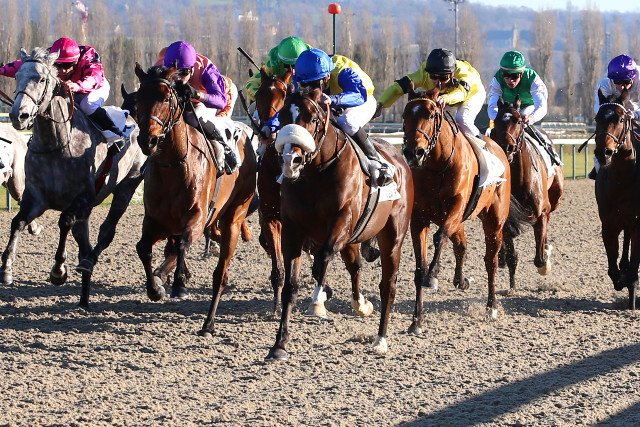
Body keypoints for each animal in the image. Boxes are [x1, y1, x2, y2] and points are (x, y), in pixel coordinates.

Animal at [0, 47, 146, 308]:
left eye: (42, 79)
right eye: (16, 75)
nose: (19, 115)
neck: (56, 144)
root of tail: (134, 120)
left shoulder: (81, 199)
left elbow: (64, 221)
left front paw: (59, 270)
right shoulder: (35, 197)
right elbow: (17, 222)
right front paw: (6, 269)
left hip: (128, 184)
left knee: (106, 231)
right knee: (85, 246)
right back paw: (83, 298)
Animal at [133, 64, 257, 334]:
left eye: (166, 98)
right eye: (138, 98)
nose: (147, 140)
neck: (173, 164)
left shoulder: (197, 217)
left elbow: (182, 245)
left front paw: (179, 284)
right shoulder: (155, 221)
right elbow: (144, 248)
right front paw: (155, 287)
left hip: (233, 217)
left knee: (220, 273)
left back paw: (208, 322)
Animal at [265, 88, 414, 360]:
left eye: (313, 118)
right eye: (282, 117)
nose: (291, 160)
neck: (316, 174)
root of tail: (399, 159)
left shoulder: (341, 221)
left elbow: (321, 261)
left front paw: (318, 301)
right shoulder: (292, 231)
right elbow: (291, 286)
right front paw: (279, 344)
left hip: (392, 237)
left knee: (388, 285)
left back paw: (380, 340)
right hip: (353, 239)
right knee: (355, 267)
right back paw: (361, 305)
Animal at [401, 86, 511, 333]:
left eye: (431, 114)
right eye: (404, 115)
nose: (413, 152)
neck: (437, 165)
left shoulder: (455, 207)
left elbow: (439, 236)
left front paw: (433, 275)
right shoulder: (419, 219)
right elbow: (419, 268)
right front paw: (417, 320)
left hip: (493, 220)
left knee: (490, 259)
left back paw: (491, 306)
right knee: (461, 244)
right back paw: (461, 281)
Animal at [490, 96, 564, 289]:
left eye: (518, 121)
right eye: (497, 121)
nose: (506, 147)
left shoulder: (541, 211)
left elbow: (539, 258)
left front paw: (545, 261)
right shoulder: (508, 216)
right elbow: (511, 254)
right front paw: (512, 286)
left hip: (555, 197)